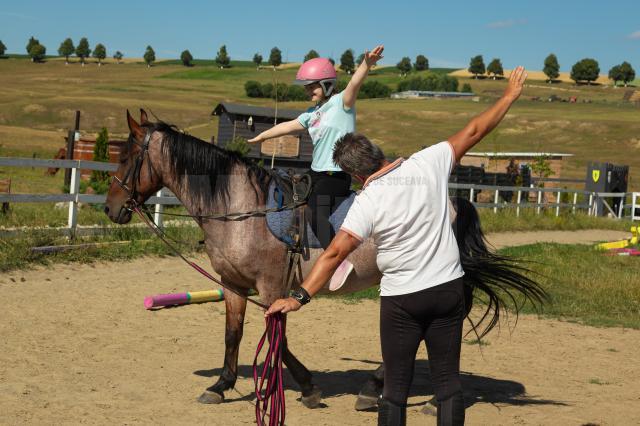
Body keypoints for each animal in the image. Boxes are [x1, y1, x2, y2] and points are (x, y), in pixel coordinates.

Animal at [105, 111, 544, 412]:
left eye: (126, 157)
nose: (111, 209)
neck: (241, 210)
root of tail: (455, 200)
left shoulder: (271, 287)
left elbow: (278, 341)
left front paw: (309, 388)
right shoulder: (233, 285)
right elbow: (233, 335)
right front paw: (221, 385)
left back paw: (395, 392)